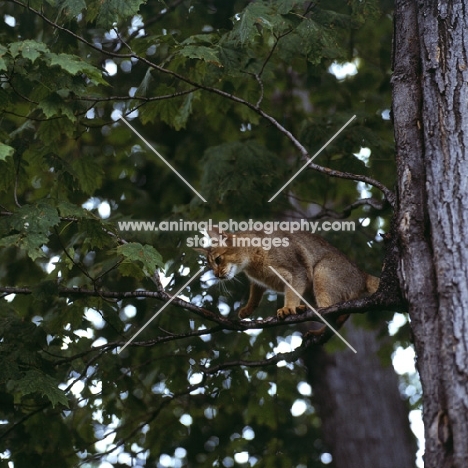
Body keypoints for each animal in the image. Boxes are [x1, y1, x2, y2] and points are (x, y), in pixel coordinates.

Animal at [196, 228, 378, 326]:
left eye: (218, 260)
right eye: (210, 267)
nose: (216, 275)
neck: (252, 263)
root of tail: (362, 274)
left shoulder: (298, 271)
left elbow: (291, 292)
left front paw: (288, 308)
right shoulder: (258, 280)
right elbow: (255, 293)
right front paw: (247, 308)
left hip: (322, 270)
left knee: (329, 309)